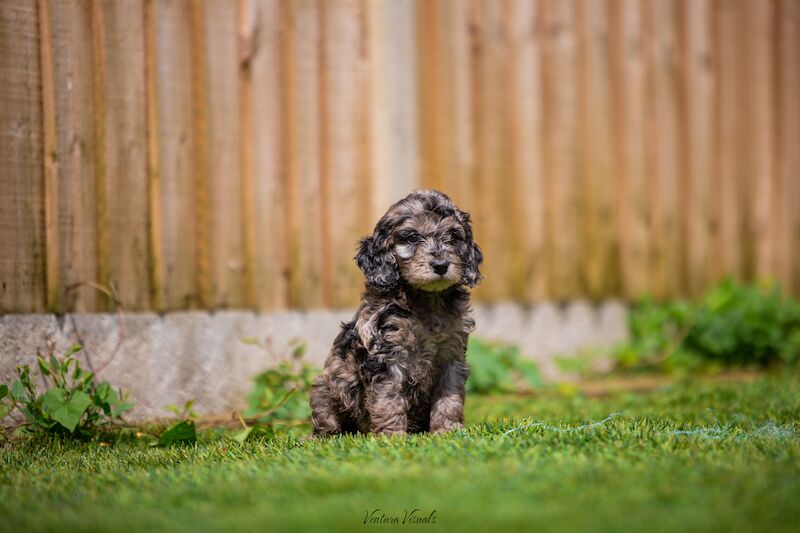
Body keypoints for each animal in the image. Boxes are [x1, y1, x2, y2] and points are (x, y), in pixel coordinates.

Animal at [308, 189, 482, 434]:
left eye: (454, 236)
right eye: (412, 237)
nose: (441, 265)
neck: (425, 299)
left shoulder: (451, 355)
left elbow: (449, 397)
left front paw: (447, 431)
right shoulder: (386, 356)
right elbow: (388, 399)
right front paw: (393, 435)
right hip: (325, 388)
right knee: (327, 420)